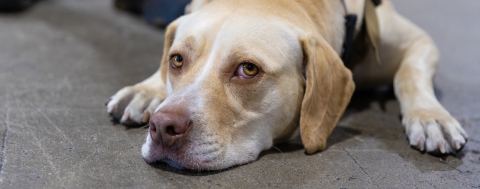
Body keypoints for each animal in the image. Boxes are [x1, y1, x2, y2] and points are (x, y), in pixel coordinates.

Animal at [106, 0, 468, 171]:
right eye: (177, 60)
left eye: (248, 69)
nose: (162, 128)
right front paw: (147, 90)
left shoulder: (419, 42)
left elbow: (409, 75)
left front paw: (431, 117)